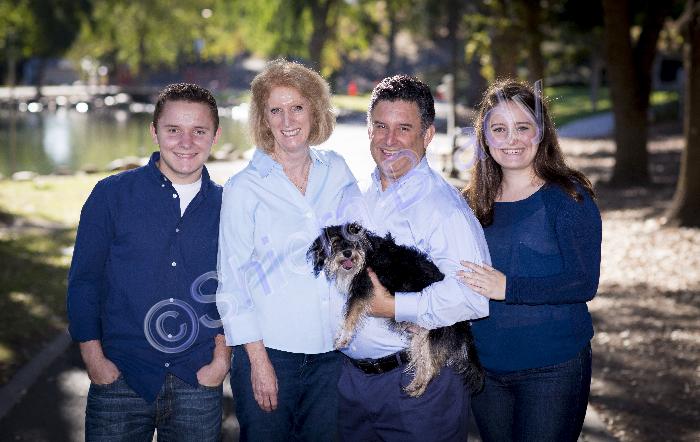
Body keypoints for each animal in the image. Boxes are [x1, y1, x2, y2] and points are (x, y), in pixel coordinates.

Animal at [307, 222, 483, 397]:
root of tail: (464, 324)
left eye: (354, 241)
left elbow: (350, 315)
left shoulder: (362, 289)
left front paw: (342, 338)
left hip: (433, 333)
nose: (348, 253)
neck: (367, 254)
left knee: (432, 367)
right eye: (335, 242)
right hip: (420, 337)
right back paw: (415, 386)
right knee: (425, 362)